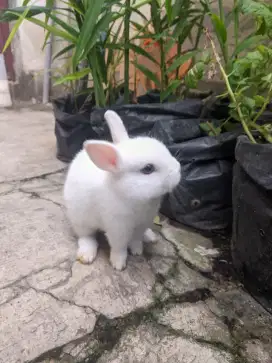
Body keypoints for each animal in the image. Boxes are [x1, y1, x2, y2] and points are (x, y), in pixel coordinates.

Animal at [62, 110, 180, 270]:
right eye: (148, 169)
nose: (178, 169)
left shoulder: (143, 223)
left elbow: (136, 239)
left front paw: (137, 250)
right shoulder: (117, 228)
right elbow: (119, 246)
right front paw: (118, 264)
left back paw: (150, 237)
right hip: (81, 220)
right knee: (86, 236)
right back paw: (87, 254)